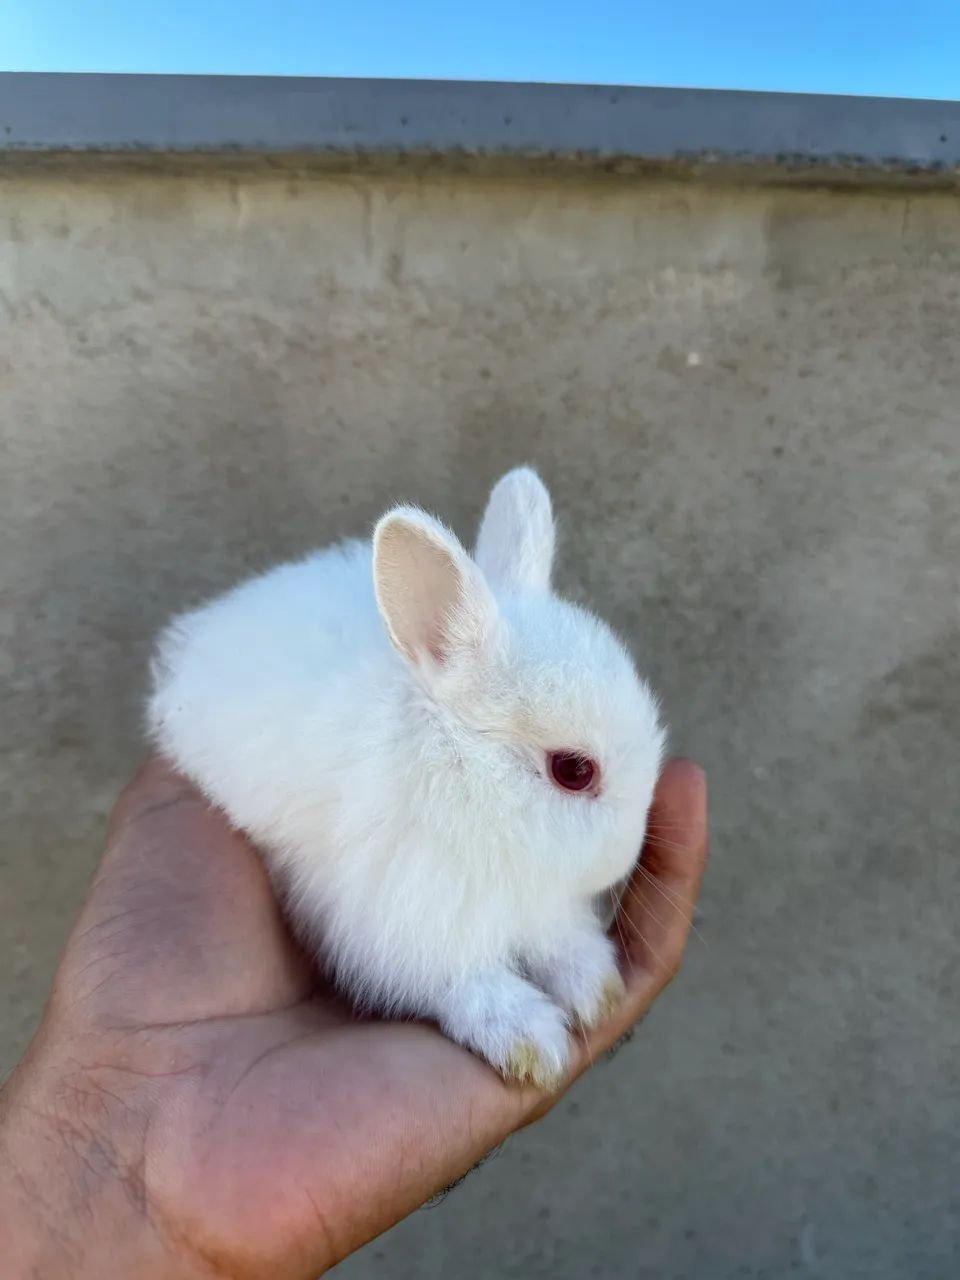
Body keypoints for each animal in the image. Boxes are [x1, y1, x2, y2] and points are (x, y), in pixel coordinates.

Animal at [148, 468, 665, 1090]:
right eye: (573, 771)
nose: (625, 856)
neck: (458, 773)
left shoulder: (535, 904)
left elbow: (560, 940)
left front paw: (595, 990)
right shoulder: (396, 923)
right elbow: (463, 983)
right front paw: (530, 1040)